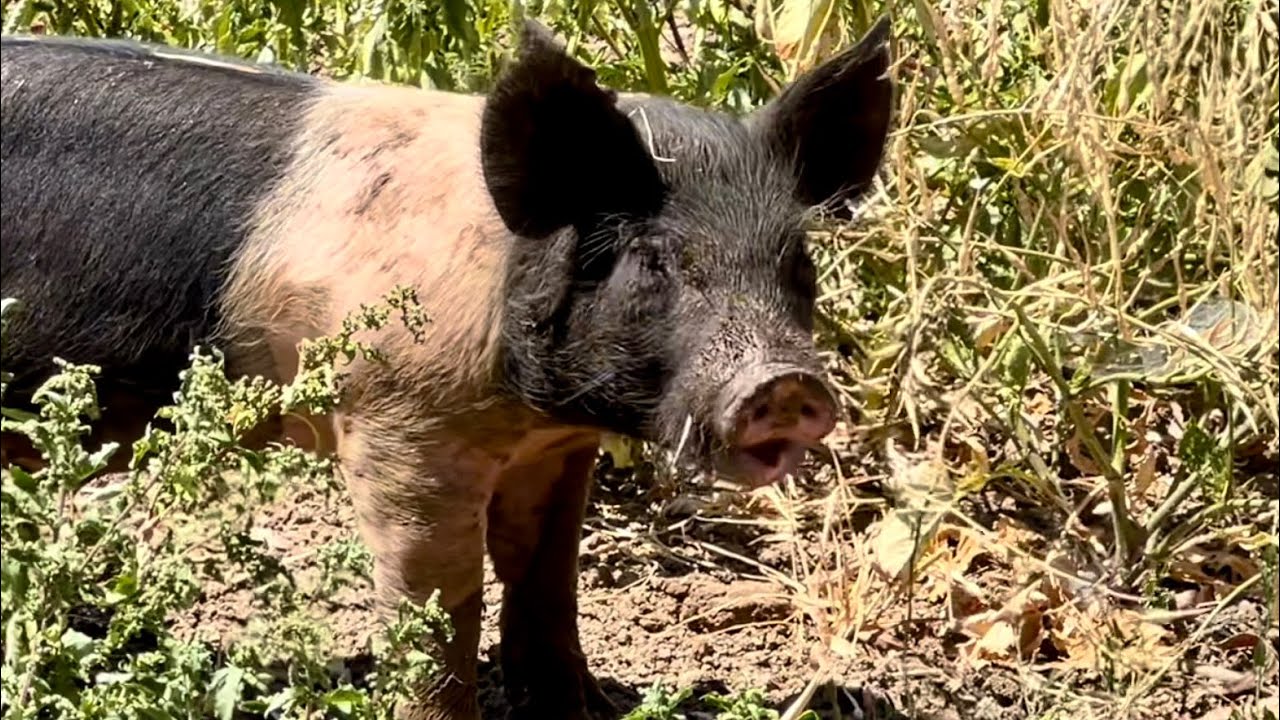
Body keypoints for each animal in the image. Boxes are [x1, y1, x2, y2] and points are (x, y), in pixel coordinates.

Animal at [0, 17, 893, 719]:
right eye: (652, 260)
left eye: (796, 263)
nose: (785, 383)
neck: (529, 400)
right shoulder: (398, 421)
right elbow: (438, 604)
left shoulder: (553, 449)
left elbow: (546, 575)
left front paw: (586, 708)